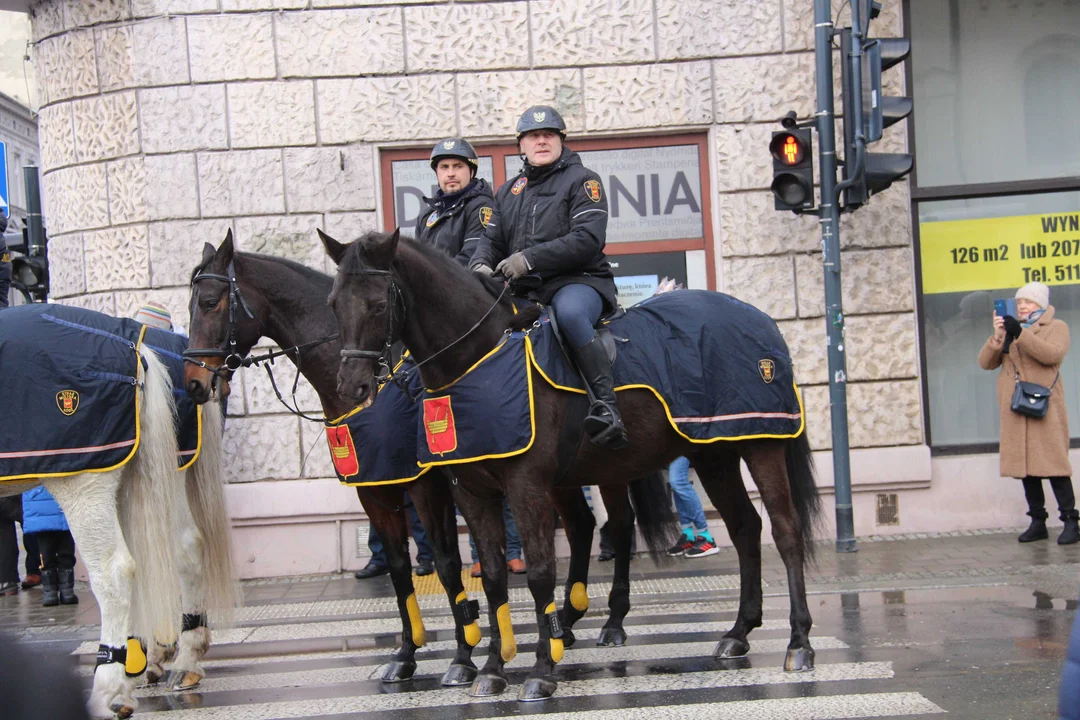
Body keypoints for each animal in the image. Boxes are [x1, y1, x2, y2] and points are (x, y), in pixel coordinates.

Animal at [181, 234, 669, 690]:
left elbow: (449, 564)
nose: (193, 384)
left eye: (209, 302)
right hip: (563, 476)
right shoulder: (375, 491)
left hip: (603, 467)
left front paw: (464, 656)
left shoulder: (427, 484)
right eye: (334, 305)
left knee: (618, 525)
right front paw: (406, 654)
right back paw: (566, 624)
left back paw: (612, 622)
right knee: (583, 525)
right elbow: (400, 571)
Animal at [319, 231, 825, 703]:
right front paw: (491, 669)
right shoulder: (470, 489)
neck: (478, 359)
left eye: (378, 303)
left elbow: (539, 572)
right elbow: (494, 575)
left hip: (759, 442)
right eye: (333, 304)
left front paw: (541, 671)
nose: (351, 386)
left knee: (784, 530)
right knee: (743, 528)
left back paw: (798, 641)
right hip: (713, 452)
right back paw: (738, 632)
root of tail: (759, 318)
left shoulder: (523, 485)